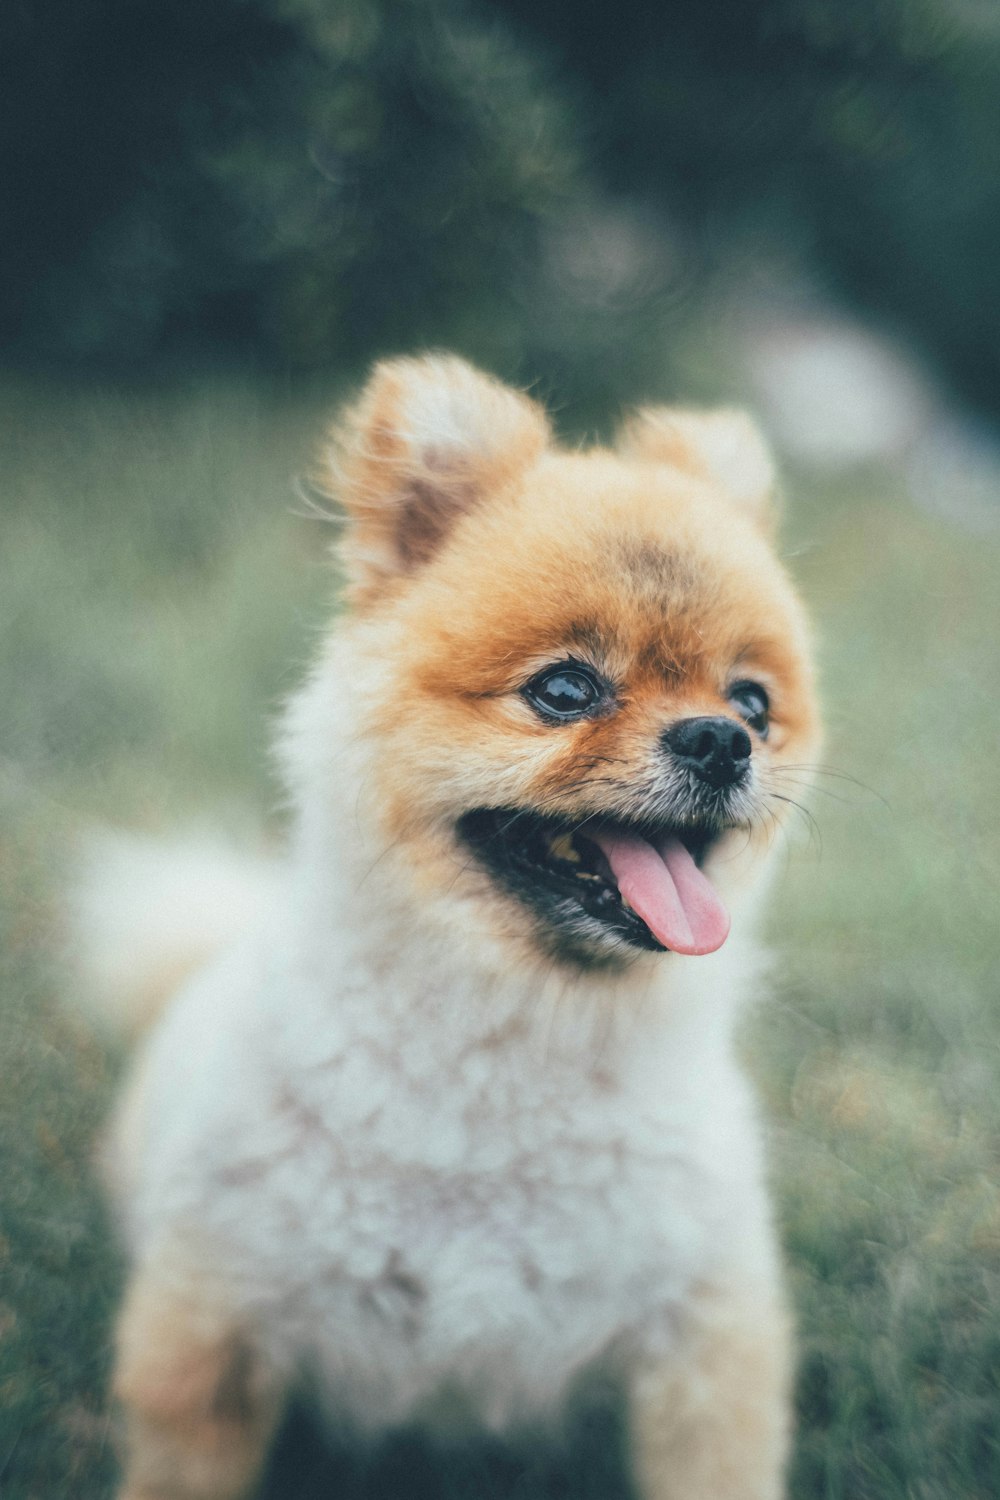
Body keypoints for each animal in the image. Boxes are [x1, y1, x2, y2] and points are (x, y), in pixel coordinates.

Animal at [83, 354, 821, 1500]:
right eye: (564, 688)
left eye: (753, 703)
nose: (719, 740)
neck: (516, 1052)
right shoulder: (212, 1324)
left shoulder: (703, 1344)